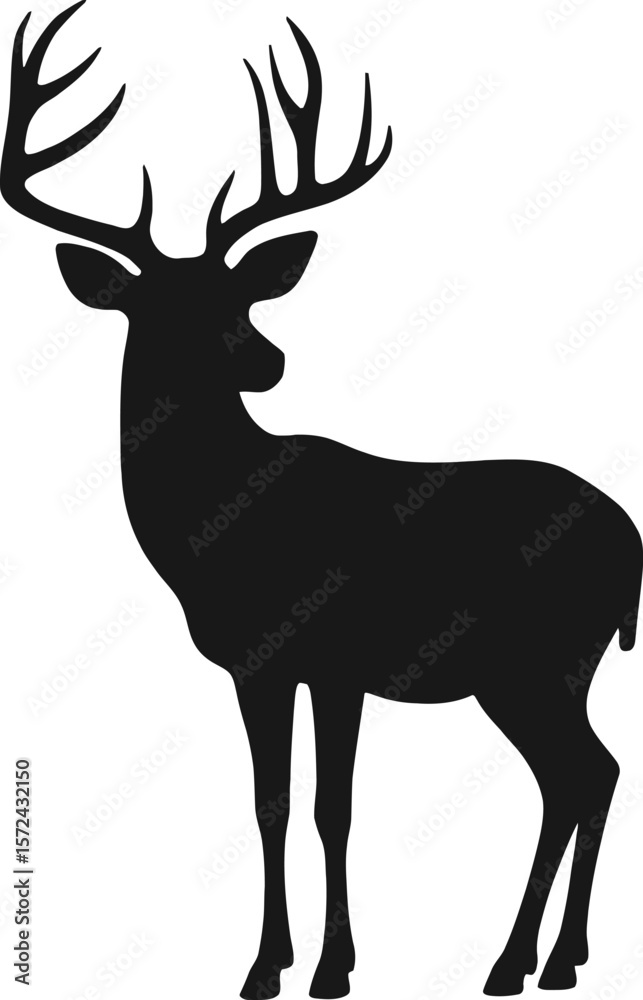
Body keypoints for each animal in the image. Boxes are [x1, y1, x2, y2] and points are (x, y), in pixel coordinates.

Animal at [2, 3, 642, 998]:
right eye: (160, 308)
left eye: (240, 295)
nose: (267, 361)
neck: (217, 530)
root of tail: (632, 540)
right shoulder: (255, 665)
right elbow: (269, 804)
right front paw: (267, 966)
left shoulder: (337, 653)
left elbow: (330, 808)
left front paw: (330, 969)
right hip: (540, 670)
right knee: (589, 774)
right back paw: (555, 958)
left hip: (539, 659)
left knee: (580, 775)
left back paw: (516, 963)